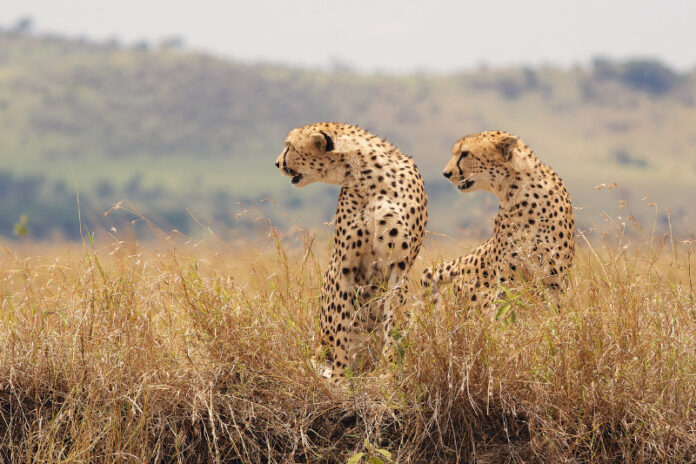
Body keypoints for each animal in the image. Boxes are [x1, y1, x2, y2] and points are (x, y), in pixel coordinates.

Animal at [274, 121, 426, 376]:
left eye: (289, 146)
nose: (277, 163)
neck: (367, 176)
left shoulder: (399, 265)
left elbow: (393, 321)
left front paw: (388, 369)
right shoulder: (345, 265)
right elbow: (341, 324)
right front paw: (340, 375)